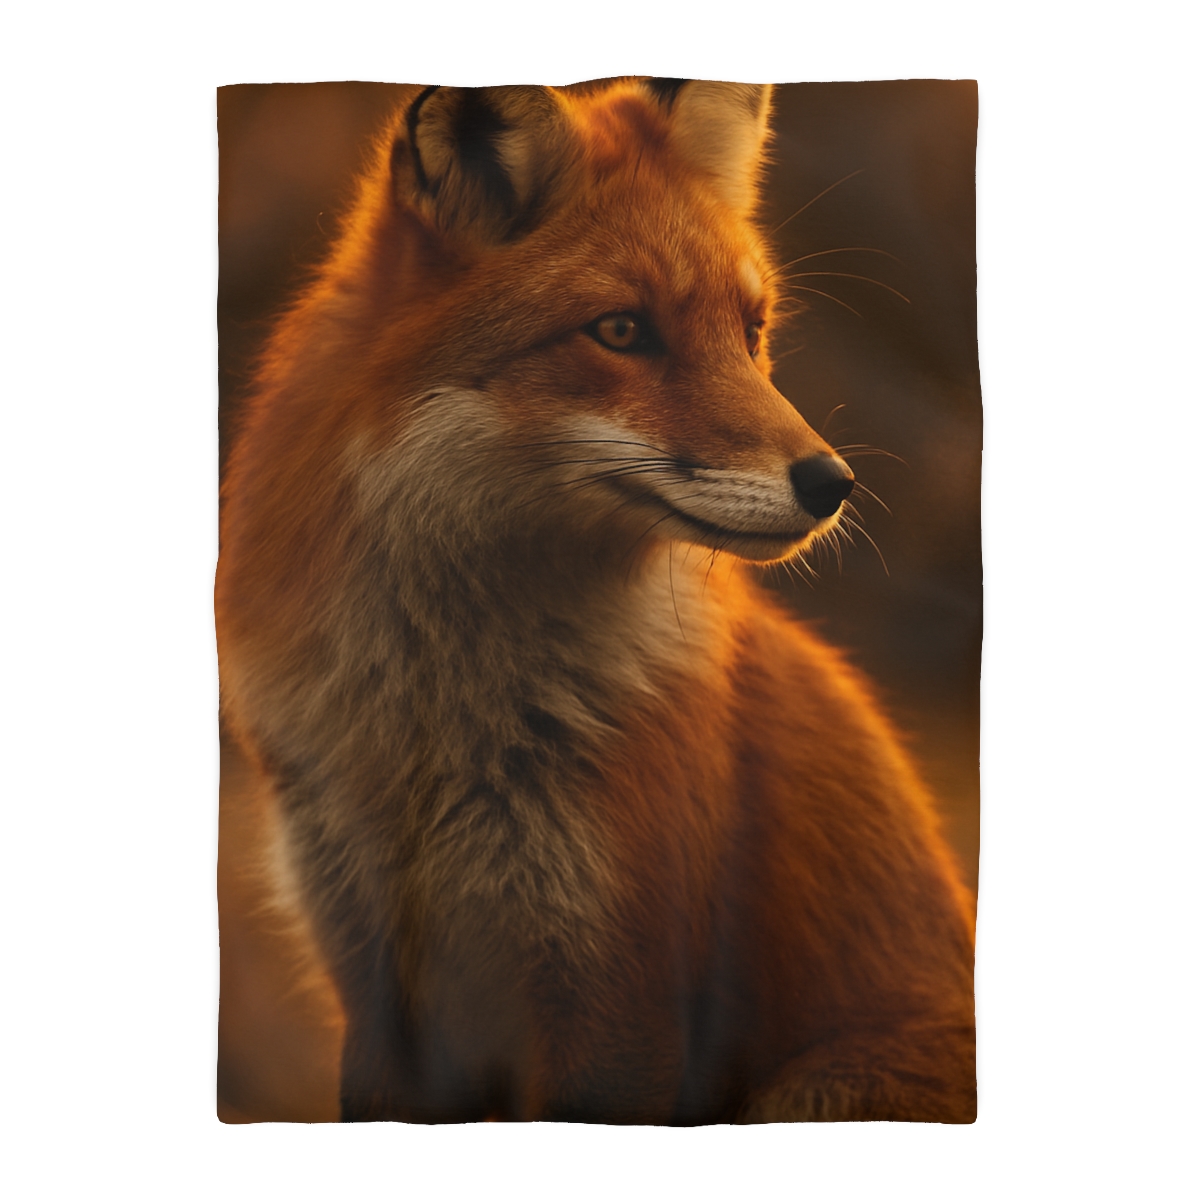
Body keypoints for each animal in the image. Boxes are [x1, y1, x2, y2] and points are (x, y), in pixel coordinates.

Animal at [215, 77, 977, 1124]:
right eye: (622, 330)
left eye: (751, 334)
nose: (834, 484)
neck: (433, 732)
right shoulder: (377, 990)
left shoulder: (621, 997)